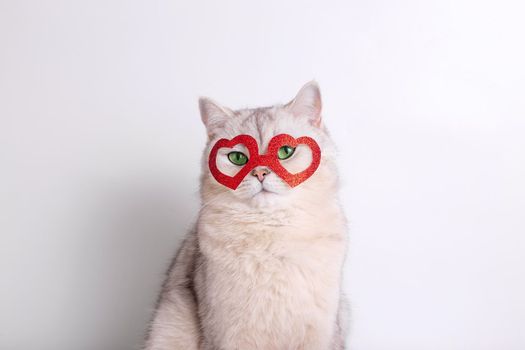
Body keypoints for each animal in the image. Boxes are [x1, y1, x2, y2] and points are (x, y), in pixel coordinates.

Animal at [143, 82, 348, 350]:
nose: (260, 173)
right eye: (238, 158)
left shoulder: (321, 333)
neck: (271, 235)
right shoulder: (228, 335)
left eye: (285, 151)